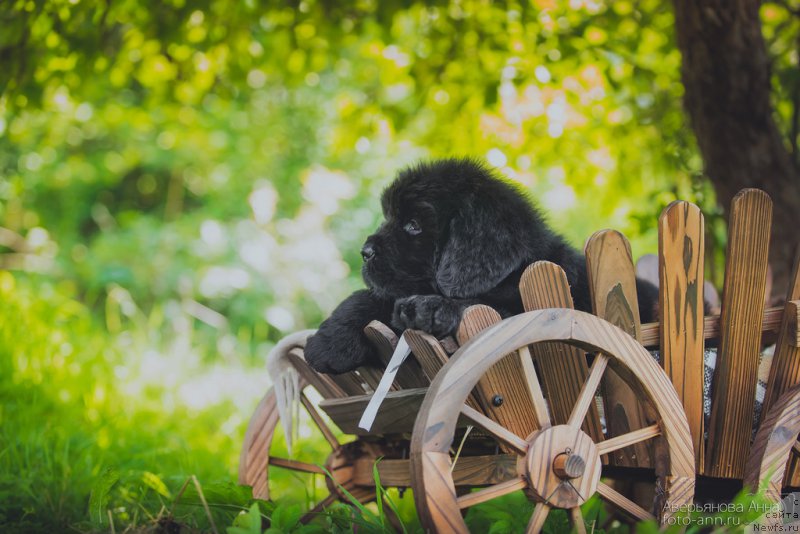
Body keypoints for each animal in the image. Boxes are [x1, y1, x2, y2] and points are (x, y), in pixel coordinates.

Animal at [304, 159, 652, 376]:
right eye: (389, 216)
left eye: (414, 225)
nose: (365, 252)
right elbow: (365, 298)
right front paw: (328, 342)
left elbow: (485, 307)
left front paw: (429, 307)